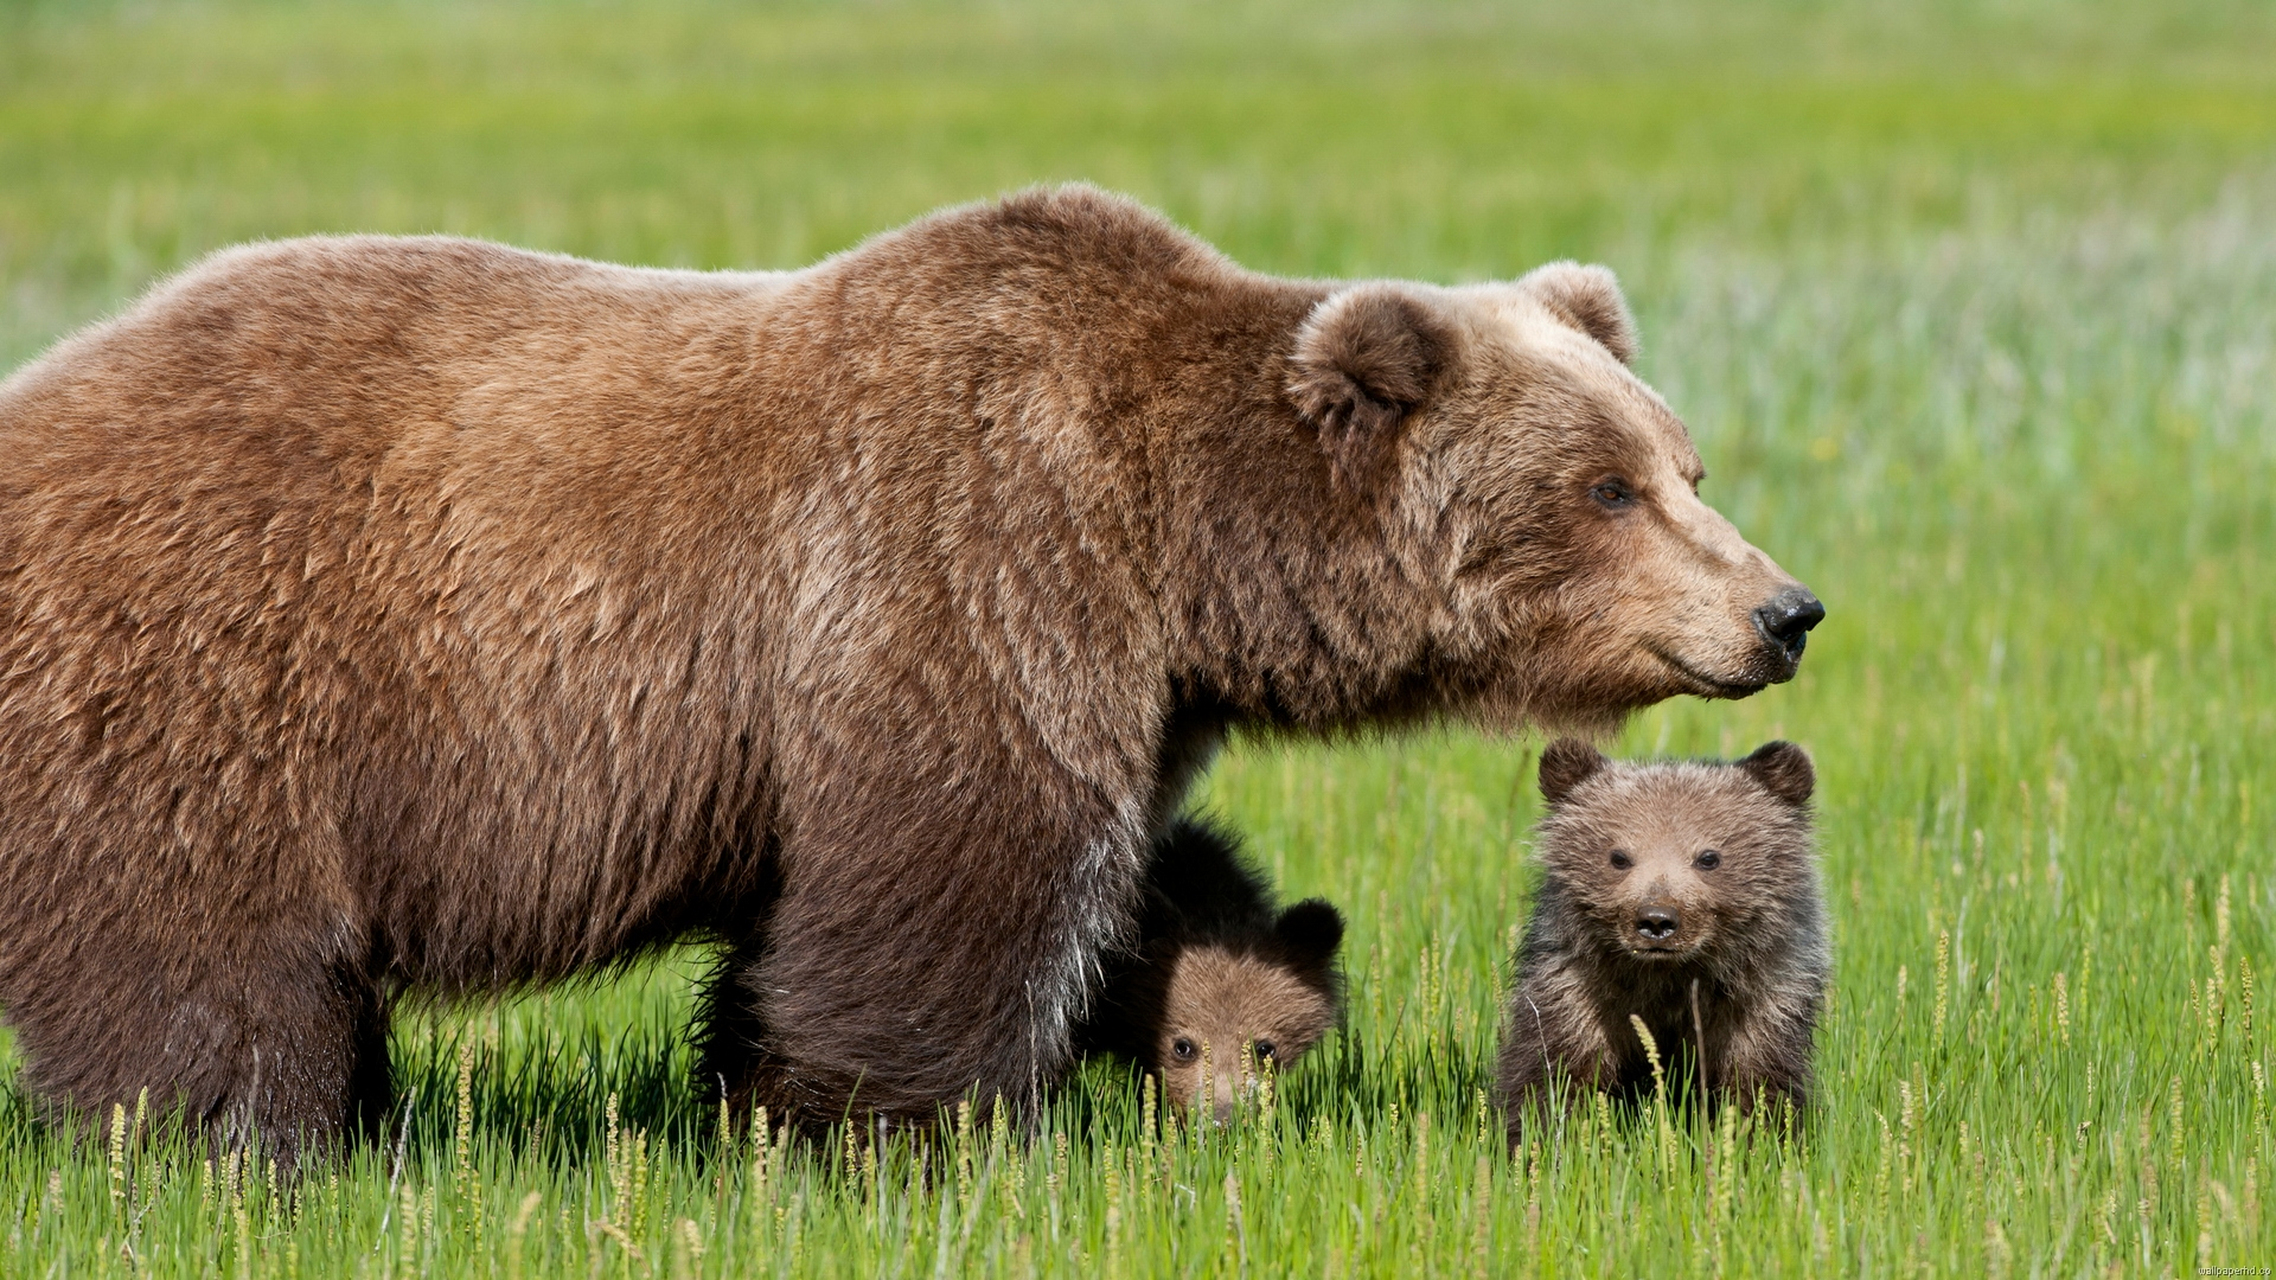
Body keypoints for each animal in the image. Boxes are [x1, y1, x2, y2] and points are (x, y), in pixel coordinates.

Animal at [1493, 733, 1829, 1129]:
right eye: (1619, 856)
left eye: (1709, 857)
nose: (1656, 919)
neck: (1667, 979)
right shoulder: (1577, 992)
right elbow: (1553, 1075)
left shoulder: (1762, 999)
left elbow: (1759, 1084)